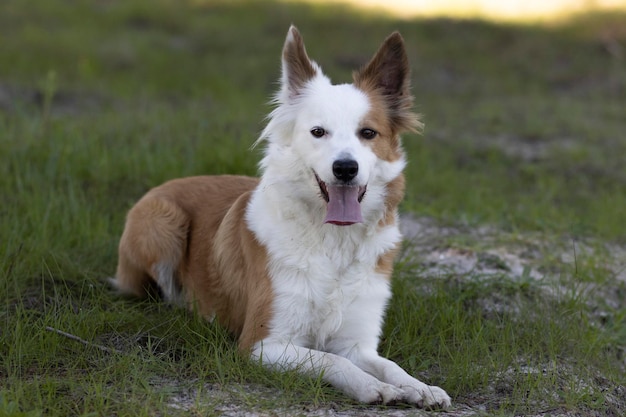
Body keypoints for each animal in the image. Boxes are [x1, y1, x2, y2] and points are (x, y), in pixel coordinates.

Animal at [111, 25, 448, 406]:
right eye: (318, 132)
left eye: (368, 133)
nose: (345, 168)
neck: (333, 241)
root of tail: (165, 184)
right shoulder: (262, 344)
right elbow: (331, 360)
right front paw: (372, 386)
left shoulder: (357, 344)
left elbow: (388, 364)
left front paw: (420, 386)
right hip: (161, 221)